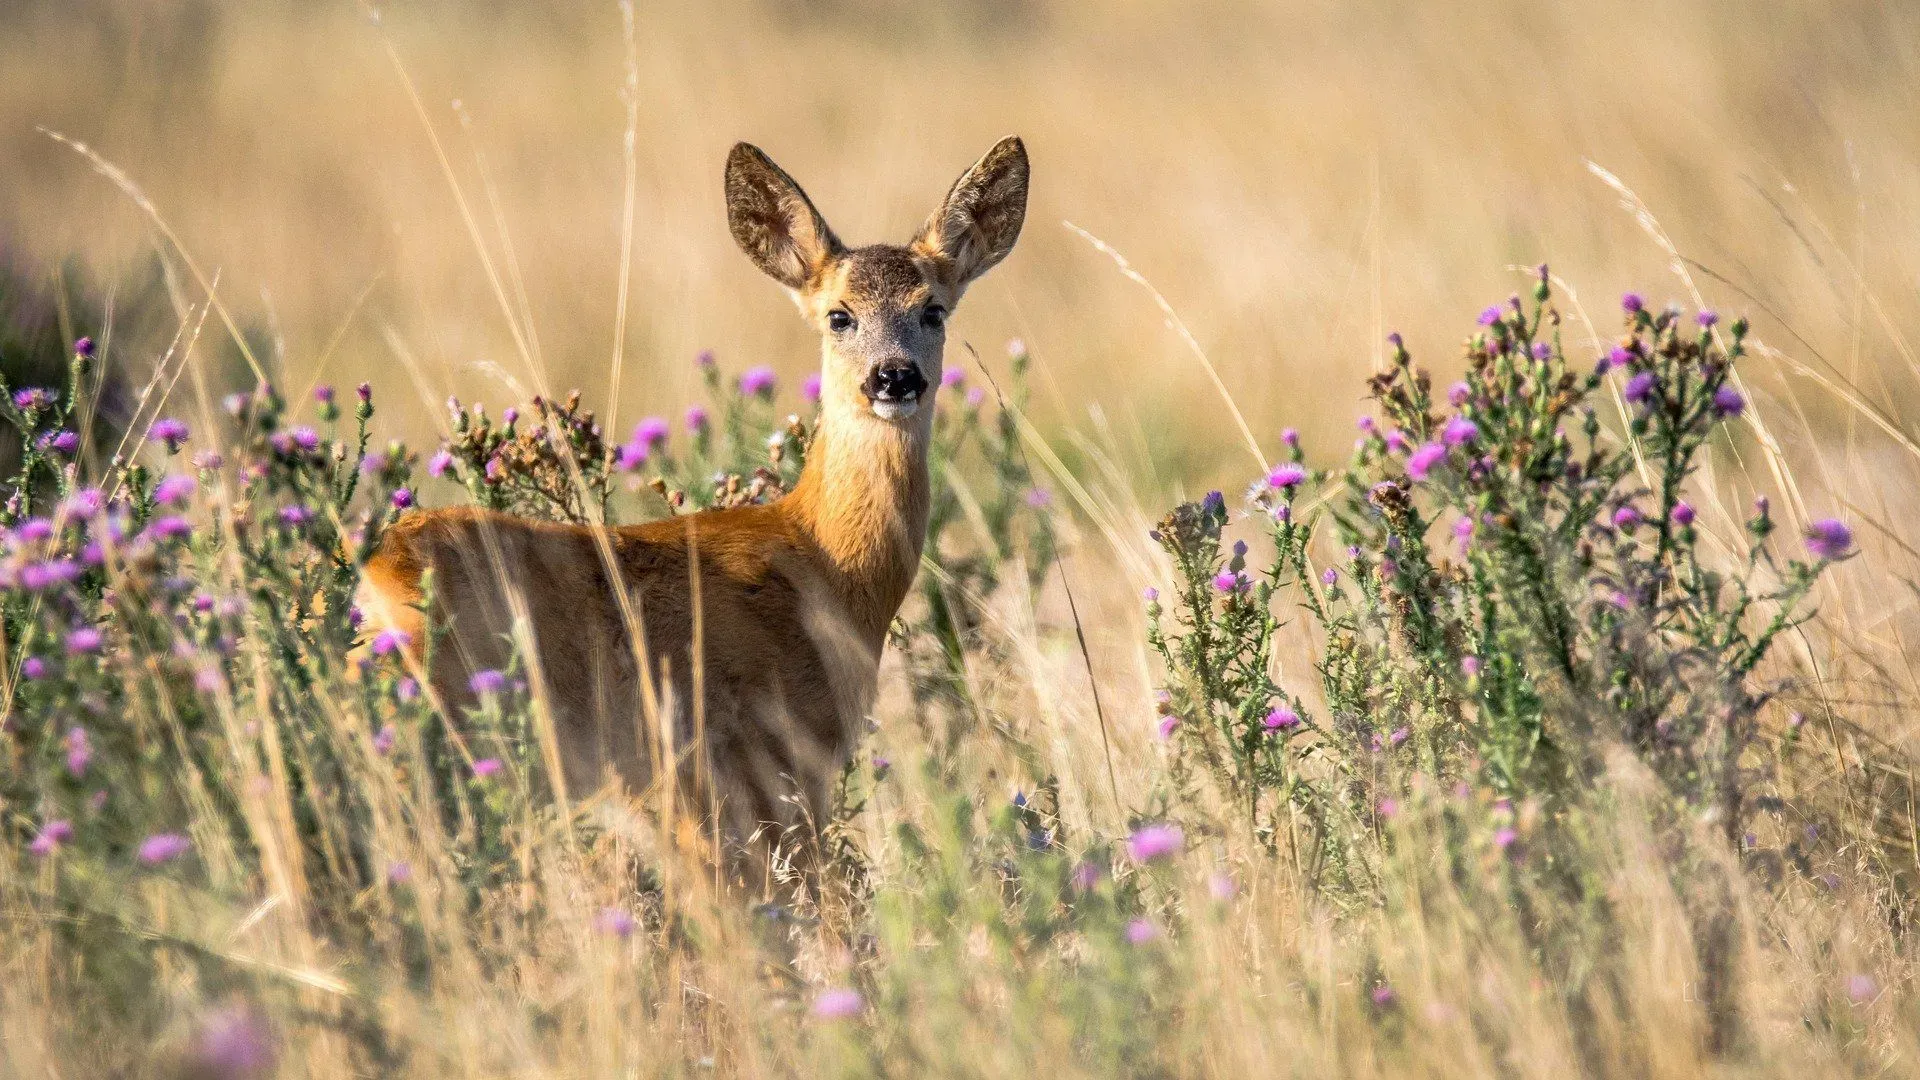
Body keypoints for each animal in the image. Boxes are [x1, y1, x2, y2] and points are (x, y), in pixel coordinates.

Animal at [353, 134, 1029, 864]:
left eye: (933, 309)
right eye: (839, 316)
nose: (894, 377)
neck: (824, 562)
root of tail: (373, 580)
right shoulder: (756, 764)